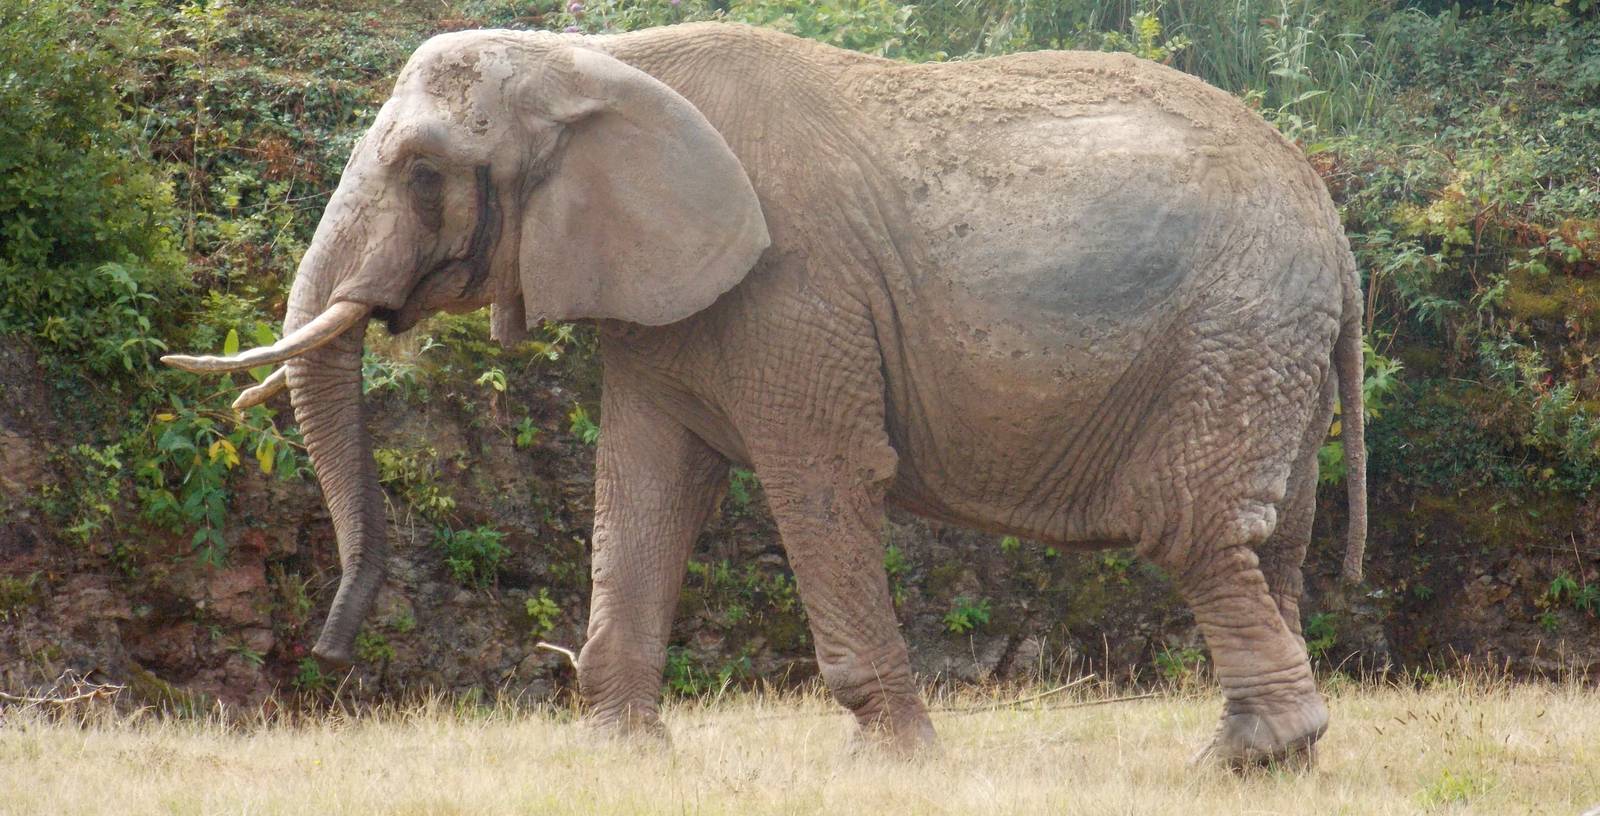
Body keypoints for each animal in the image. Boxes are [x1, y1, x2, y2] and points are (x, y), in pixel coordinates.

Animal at [162, 22, 1367, 767]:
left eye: (421, 174)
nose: (327, 654)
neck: (594, 59)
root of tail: (1329, 218)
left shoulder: (799, 294)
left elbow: (818, 478)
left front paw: (893, 766)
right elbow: (644, 482)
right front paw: (618, 757)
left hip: (1230, 329)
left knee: (1192, 529)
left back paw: (1245, 758)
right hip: (1265, 348)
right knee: (1273, 541)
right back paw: (1265, 764)